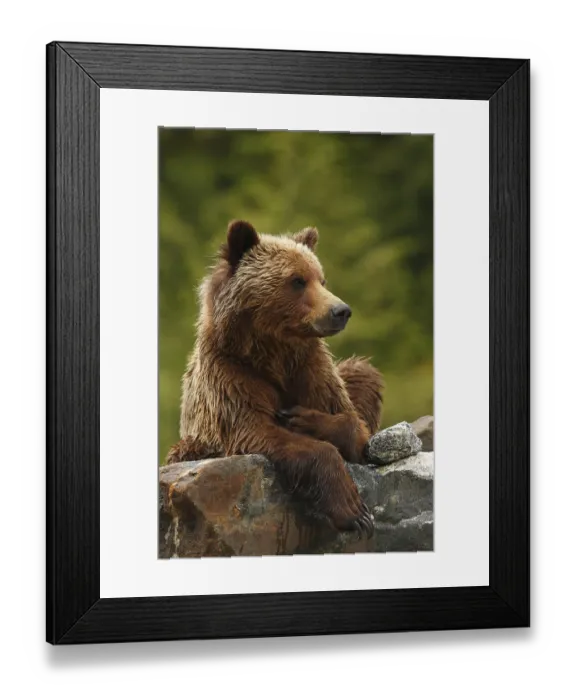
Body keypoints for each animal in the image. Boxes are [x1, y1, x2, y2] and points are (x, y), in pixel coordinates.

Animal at [165, 220, 384, 537]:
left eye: (322, 280)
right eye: (297, 280)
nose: (341, 311)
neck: (274, 351)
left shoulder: (310, 368)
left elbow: (353, 424)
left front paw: (303, 418)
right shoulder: (233, 375)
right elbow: (257, 429)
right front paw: (354, 511)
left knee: (362, 373)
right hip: (192, 443)